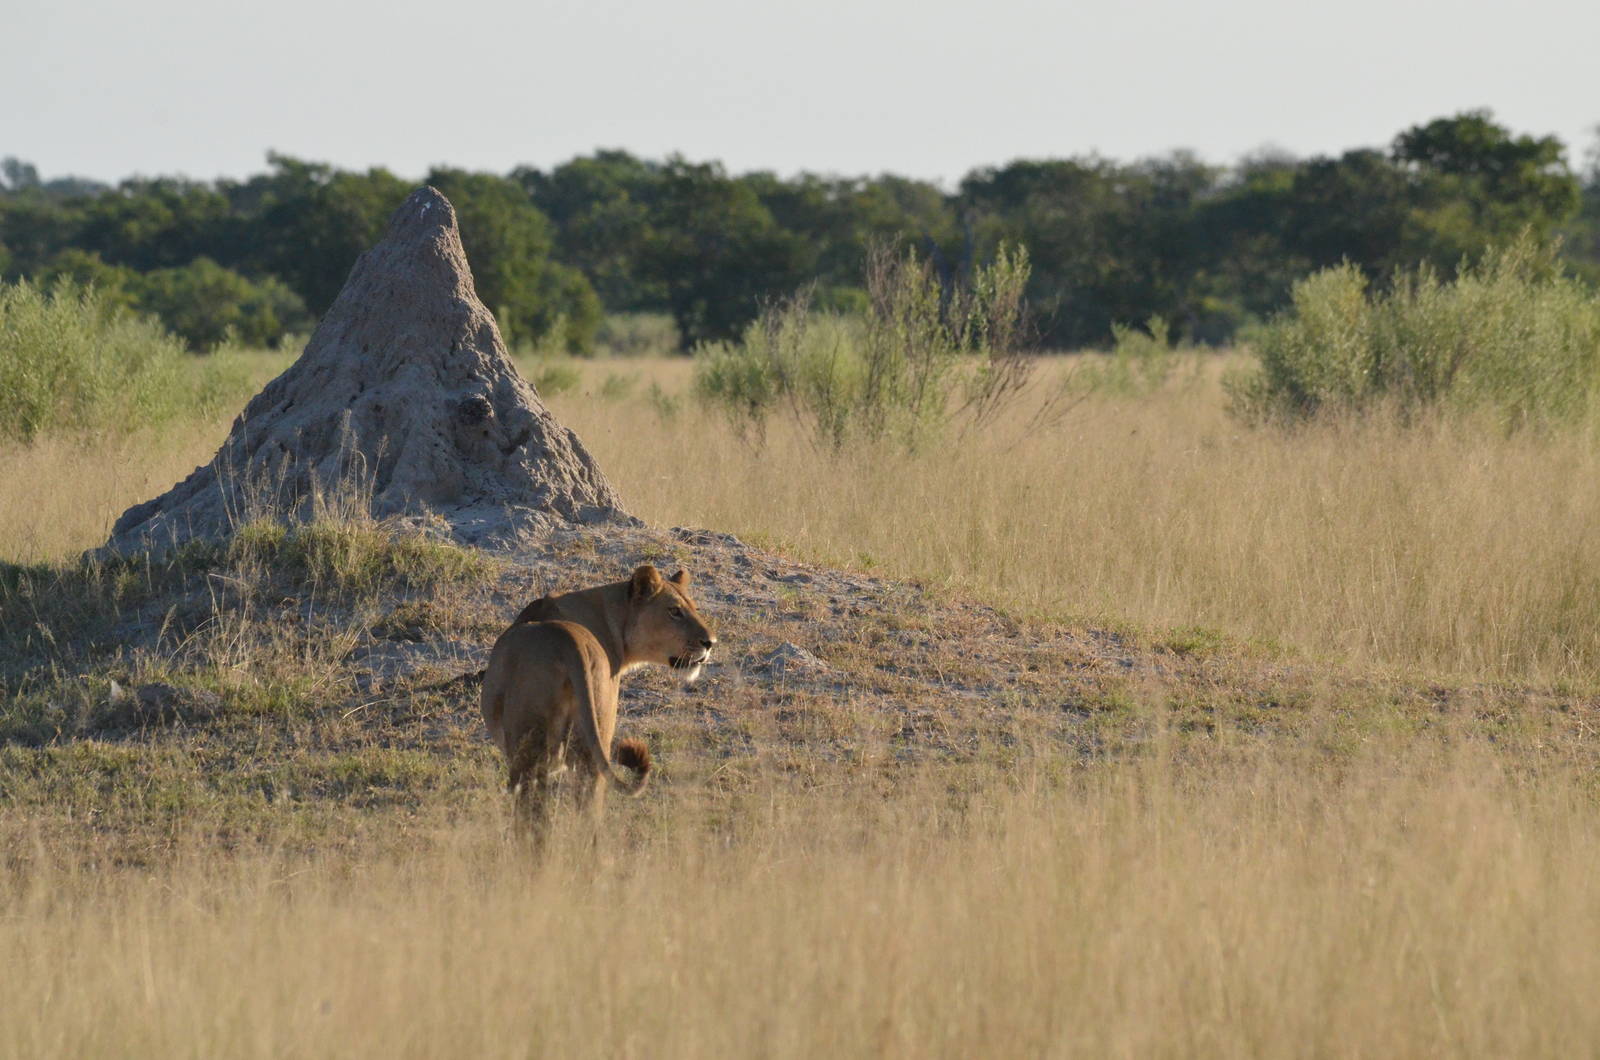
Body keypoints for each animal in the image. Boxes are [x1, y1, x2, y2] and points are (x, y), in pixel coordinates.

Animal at [480, 564, 716, 822]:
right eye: (675, 611)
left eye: (694, 609)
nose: (710, 642)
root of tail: (565, 636)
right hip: (594, 737)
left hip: (531, 751)